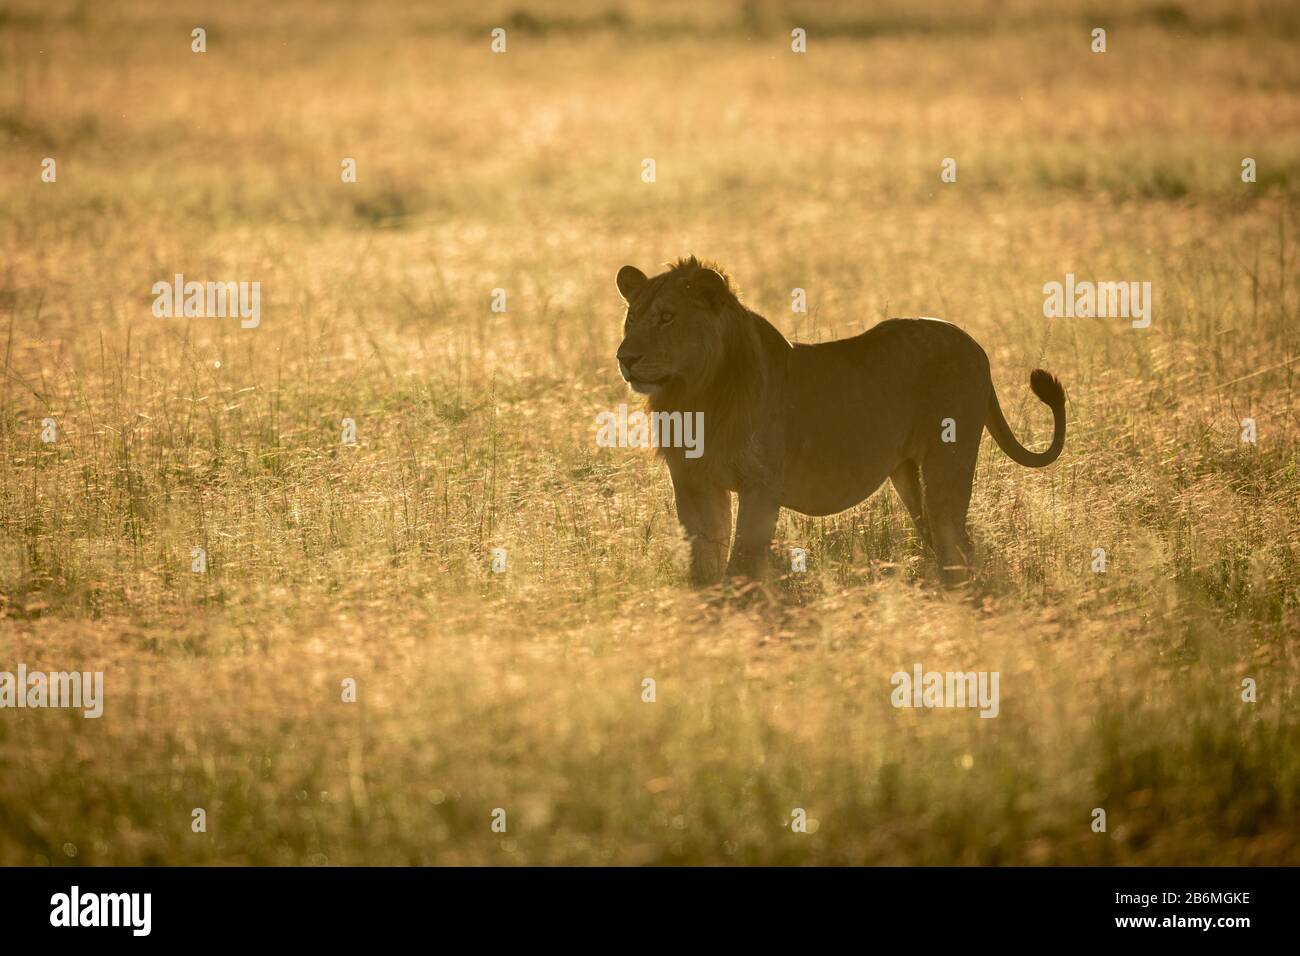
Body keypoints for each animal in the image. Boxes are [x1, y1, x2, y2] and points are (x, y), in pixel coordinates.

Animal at [614, 256, 1066, 586]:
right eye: (631, 319)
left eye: (668, 317)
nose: (625, 357)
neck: (696, 394)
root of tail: (975, 345)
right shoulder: (694, 482)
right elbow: (703, 562)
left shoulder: (761, 484)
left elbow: (742, 561)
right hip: (908, 475)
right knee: (940, 539)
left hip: (947, 464)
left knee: (957, 541)